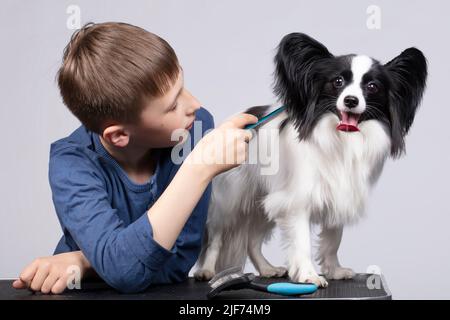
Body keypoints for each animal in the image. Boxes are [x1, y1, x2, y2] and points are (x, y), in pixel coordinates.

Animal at [195, 33, 428, 288]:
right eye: (337, 82)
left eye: (372, 86)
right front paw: (308, 275)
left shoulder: (338, 195)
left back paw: (267, 269)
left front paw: (334, 270)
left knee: (252, 241)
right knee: (216, 237)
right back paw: (206, 270)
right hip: (230, 201)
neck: (342, 140)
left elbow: (333, 240)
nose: (350, 100)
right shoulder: (296, 201)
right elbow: (302, 241)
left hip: (263, 203)